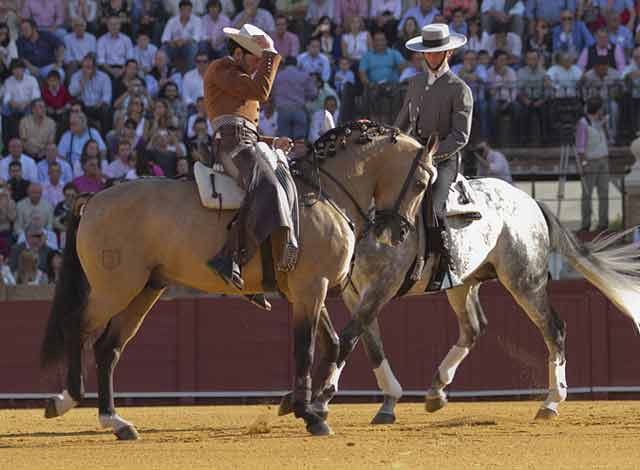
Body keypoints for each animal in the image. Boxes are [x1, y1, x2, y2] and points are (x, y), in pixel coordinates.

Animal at [41, 123, 440, 438]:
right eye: (422, 182)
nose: (398, 234)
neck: (326, 192)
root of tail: (94, 199)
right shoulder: (312, 288)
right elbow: (306, 347)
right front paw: (310, 414)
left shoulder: (311, 290)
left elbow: (334, 343)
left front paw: (306, 404)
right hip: (114, 288)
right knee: (79, 328)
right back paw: (67, 399)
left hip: (146, 289)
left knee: (108, 348)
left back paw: (116, 421)